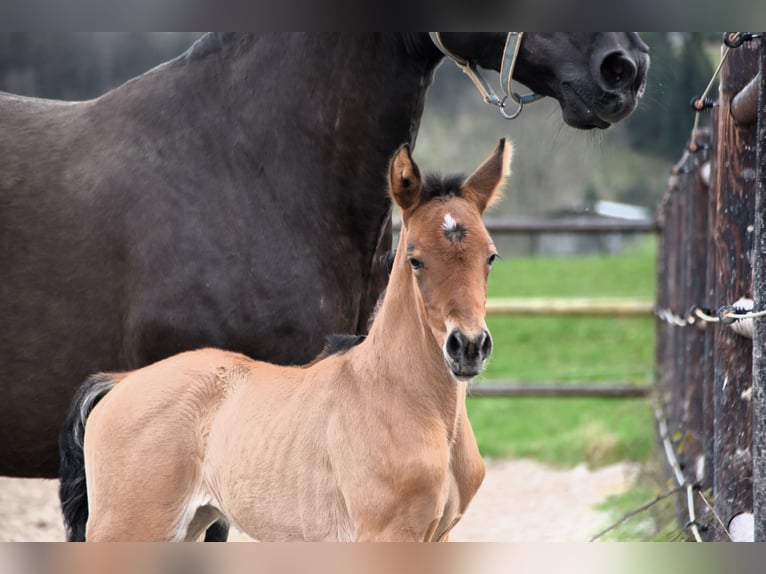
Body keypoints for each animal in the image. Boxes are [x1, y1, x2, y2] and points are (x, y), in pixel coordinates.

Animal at [60, 140, 512, 544]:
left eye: (490, 256)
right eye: (415, 259)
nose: (468, 346)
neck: (406, 397)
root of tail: (119, 383)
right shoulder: (386, 534)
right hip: (129, 529)